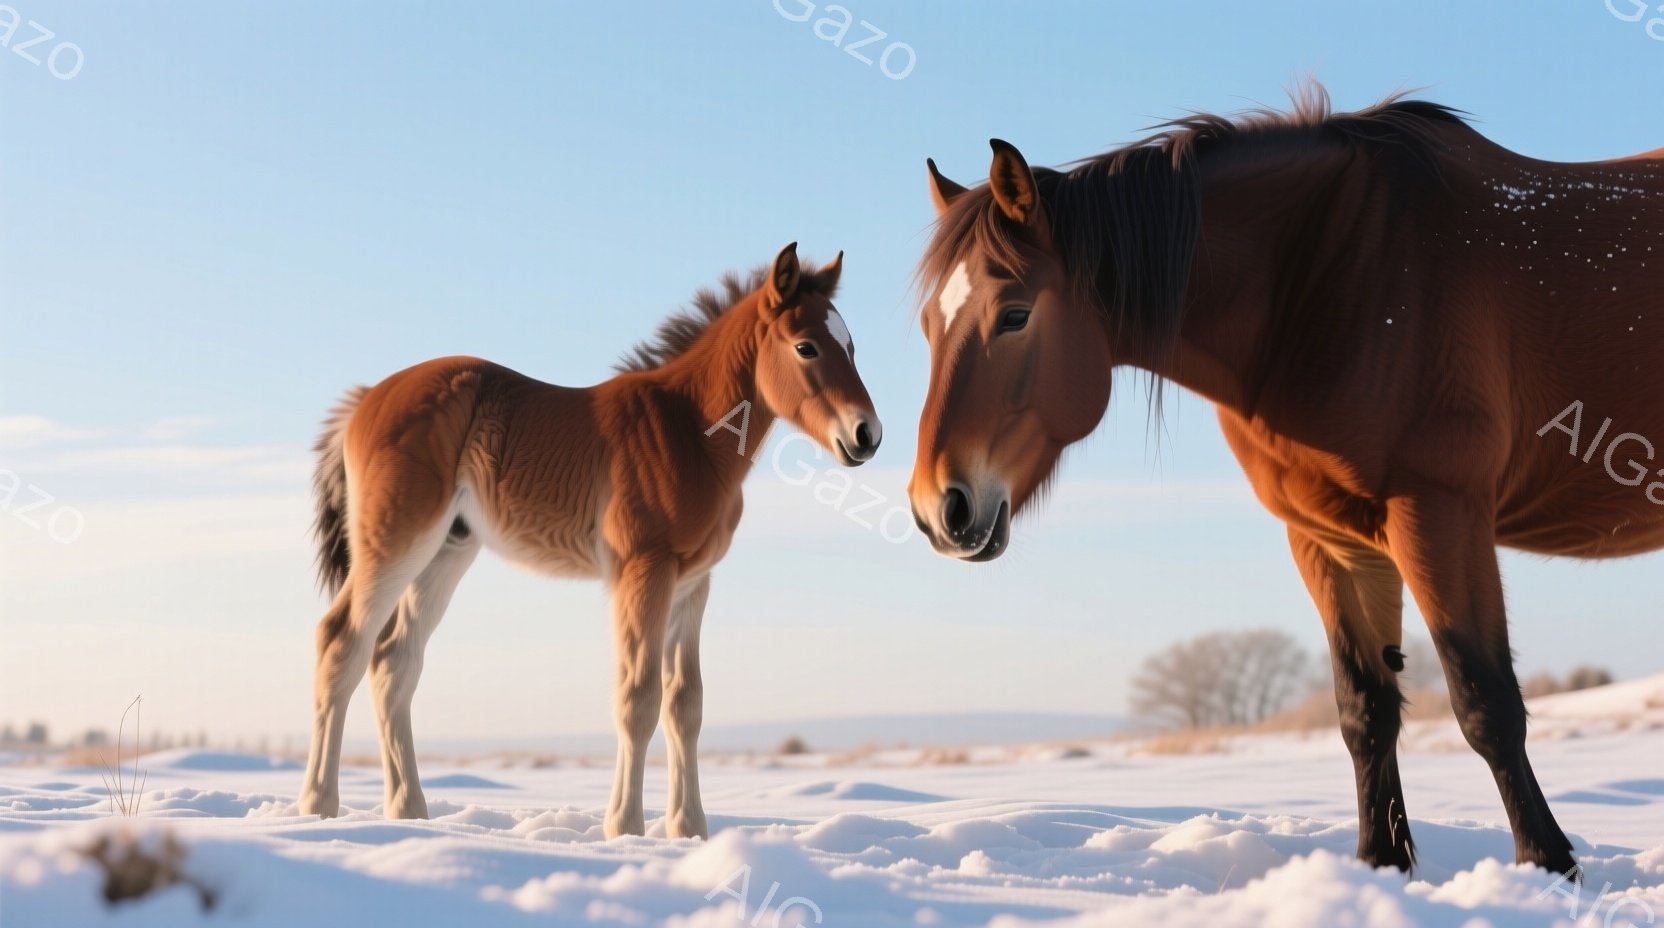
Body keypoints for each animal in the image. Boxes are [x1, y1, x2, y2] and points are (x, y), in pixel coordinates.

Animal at [296, 244, 882, 838]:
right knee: (342, 641)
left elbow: (685, 704)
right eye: (806, 346)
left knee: (394, 662)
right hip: (396, 541)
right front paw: (624, 827)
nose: (867, 435)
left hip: (446, 553)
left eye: (851, 346)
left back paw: (409, 811)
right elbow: (638, 697)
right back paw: (318, 805)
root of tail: (366, 399)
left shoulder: (693, 584)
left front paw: (689, 829)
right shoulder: (642, 571)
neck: (688, 432)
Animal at [907, 87, 1663, 875]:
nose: (940, 507)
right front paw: (1379, 865)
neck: (1335, 278)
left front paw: (1549, 865)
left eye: (1015, 315)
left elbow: (1484, 701)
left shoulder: (1439, 513)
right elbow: (1364, 711)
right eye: (930, 324)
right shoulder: (1330, 538)